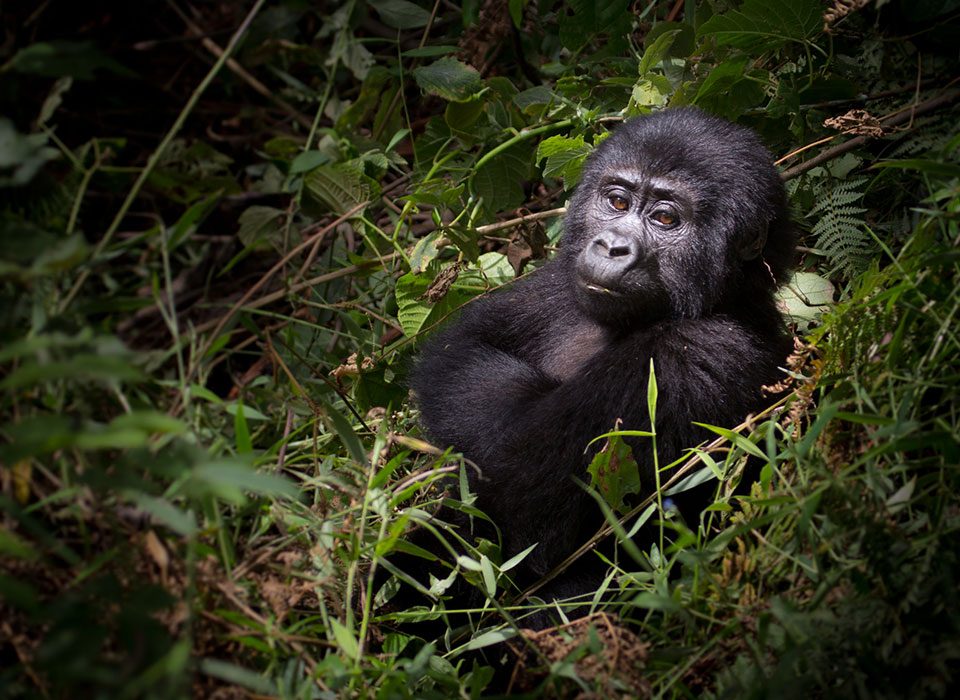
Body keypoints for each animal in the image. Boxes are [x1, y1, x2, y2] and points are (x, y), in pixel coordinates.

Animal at [404, 108, 796, 624]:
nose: (611, 246)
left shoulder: (696, 353)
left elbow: (521, 482)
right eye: (616, 201)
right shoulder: (558, 278)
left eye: (665, 217)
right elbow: (461, 355)